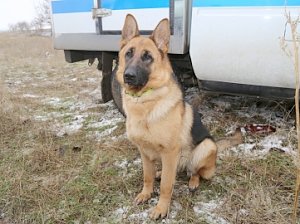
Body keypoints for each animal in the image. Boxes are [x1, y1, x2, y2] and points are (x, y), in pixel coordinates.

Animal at [116, 14, 243, 219]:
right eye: (128, 53)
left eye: (147, 57)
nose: (129, 76)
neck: (145, 103)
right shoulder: (144, 152)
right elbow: (147, 176)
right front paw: (146, 194)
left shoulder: (169, 152)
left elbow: (167, 185)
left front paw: (161, 208)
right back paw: (161, 173)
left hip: (205, 148)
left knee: (195, 171)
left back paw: (193, 181)